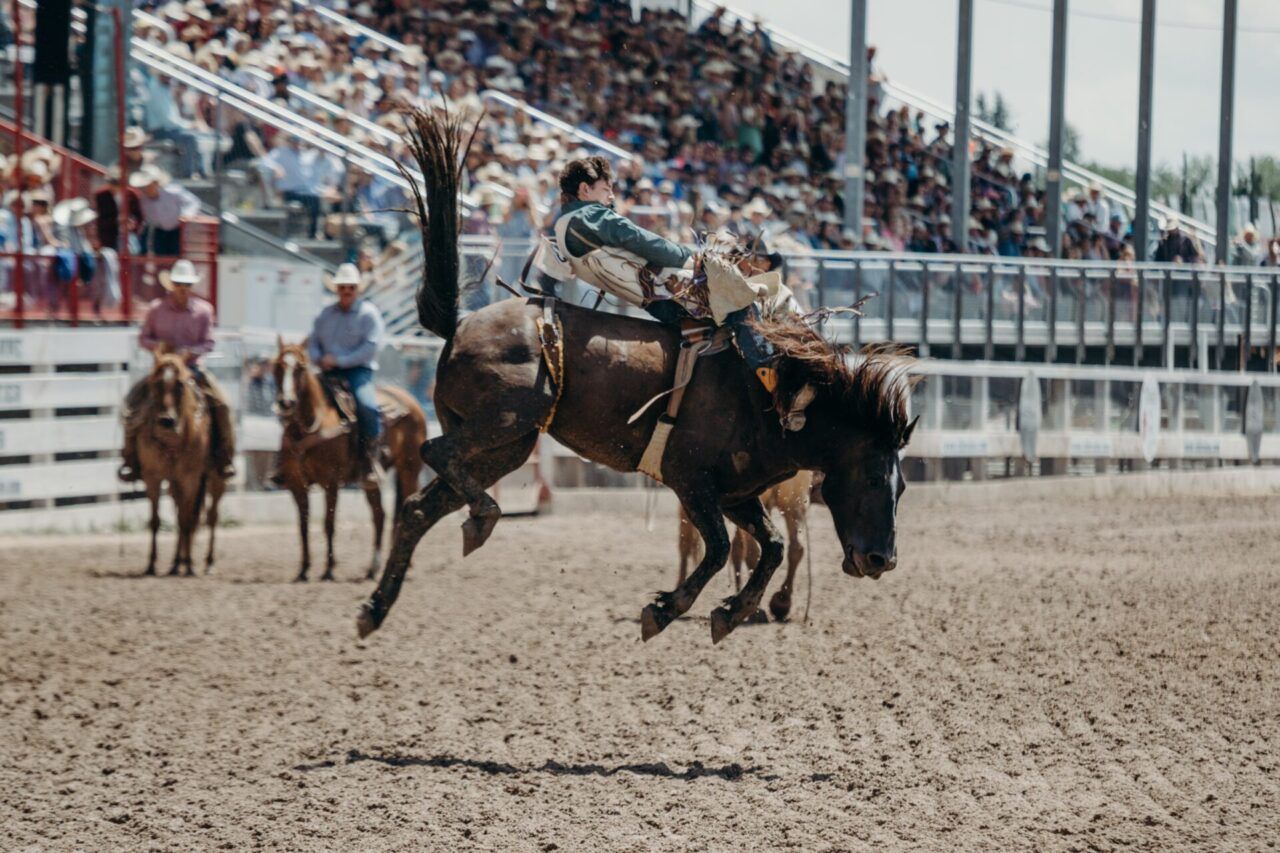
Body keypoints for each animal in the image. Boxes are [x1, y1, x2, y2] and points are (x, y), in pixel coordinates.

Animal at [136, 348, 229, 573]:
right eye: (155, 383)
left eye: (180, 384)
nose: (166, 421)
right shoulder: (153, 477)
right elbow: (156, 520)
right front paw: (151, 564)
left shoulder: (190, 478)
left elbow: (188, 520)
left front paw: (189, 564)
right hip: (175, 484)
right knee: (182, 516)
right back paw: (175, 563)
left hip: (216, 479)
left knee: (211, 517)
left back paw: (205, 562)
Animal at [270, 338, 430, 578]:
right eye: (277, 367)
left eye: (300, 368)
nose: (286, 402)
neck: (310, 425)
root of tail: (411, 402)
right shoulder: (296, 485)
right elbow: (303, 525)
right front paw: (304, 569)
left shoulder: (331, 482)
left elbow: (329, 523)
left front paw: (328, 569)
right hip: (370, 481)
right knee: (379, 515)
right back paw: (374, 567)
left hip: (409, 470)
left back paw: (405, 564)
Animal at [675, 471, 814, 617]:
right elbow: (737, 550)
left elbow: (685, 543)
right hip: (794, 499)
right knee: (796, 547)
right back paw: (782, 600)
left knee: (756, 551)